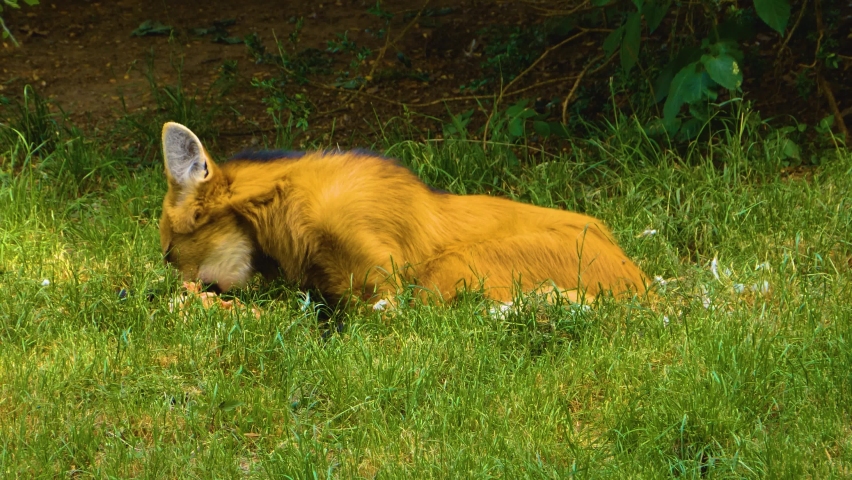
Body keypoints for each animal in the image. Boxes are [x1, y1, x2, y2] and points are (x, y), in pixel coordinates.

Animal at [159, 122, 647, 308]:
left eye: (167, 252)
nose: (163, 292)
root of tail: (641, 278)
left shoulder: (384, 277)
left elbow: (377, 310)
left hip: (454, 265)